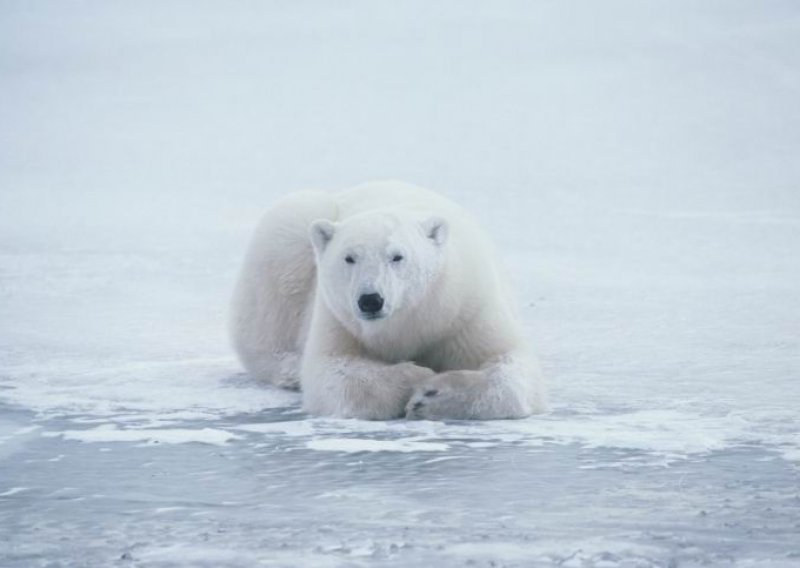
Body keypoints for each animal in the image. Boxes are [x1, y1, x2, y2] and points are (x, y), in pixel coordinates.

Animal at [228, 182, 548, 422]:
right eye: (349, 257)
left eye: (397, 256)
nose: (371, 300)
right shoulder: (339, 319)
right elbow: (334, 373)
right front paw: (415, 378)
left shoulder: (466, 308)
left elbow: (512, 367)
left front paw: (431, 397)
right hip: (293, 238)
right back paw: (292, 369)